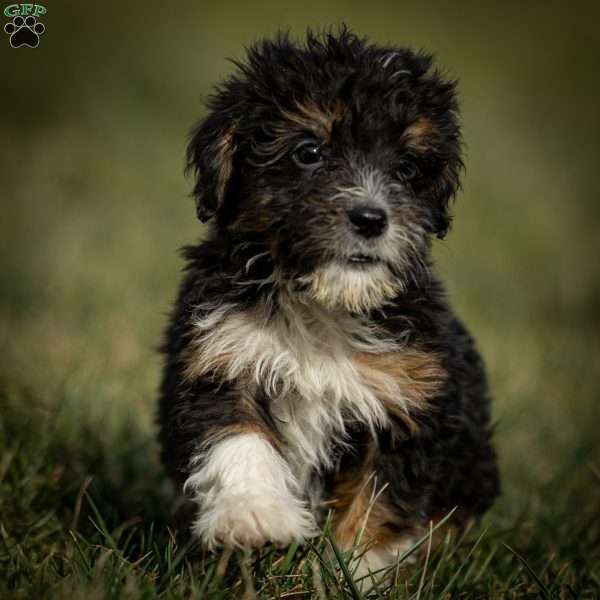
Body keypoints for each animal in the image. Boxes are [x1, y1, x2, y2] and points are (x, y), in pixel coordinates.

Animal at [157, 29, 500, 576]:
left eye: (407, 168)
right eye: (309, 152)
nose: (371, 218)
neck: (325, 302)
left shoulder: (411, 402)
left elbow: (378, 499)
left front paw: (354, 570)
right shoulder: (219, 357)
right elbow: (235, 436)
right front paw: (253, 515)